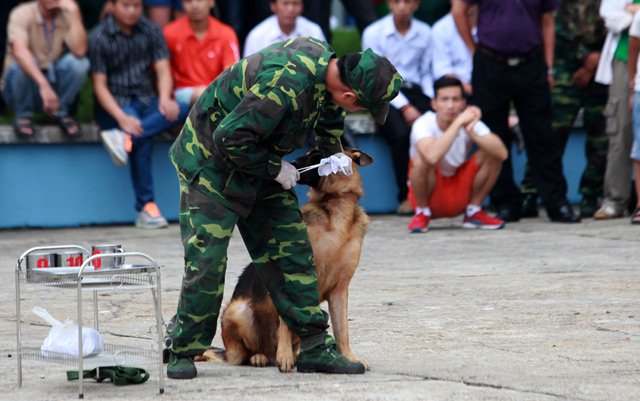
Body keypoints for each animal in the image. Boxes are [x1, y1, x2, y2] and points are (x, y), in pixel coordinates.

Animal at [199, 148, 370, 370]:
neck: (337, 205)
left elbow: (342, 331)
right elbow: (287, 321)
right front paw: (285, 355)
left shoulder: (340, 290)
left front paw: (349, 358)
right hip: (238, 311)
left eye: (315, 155)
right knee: (242, 355)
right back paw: (261, 357)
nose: (291, 163)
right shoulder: (293, 279)